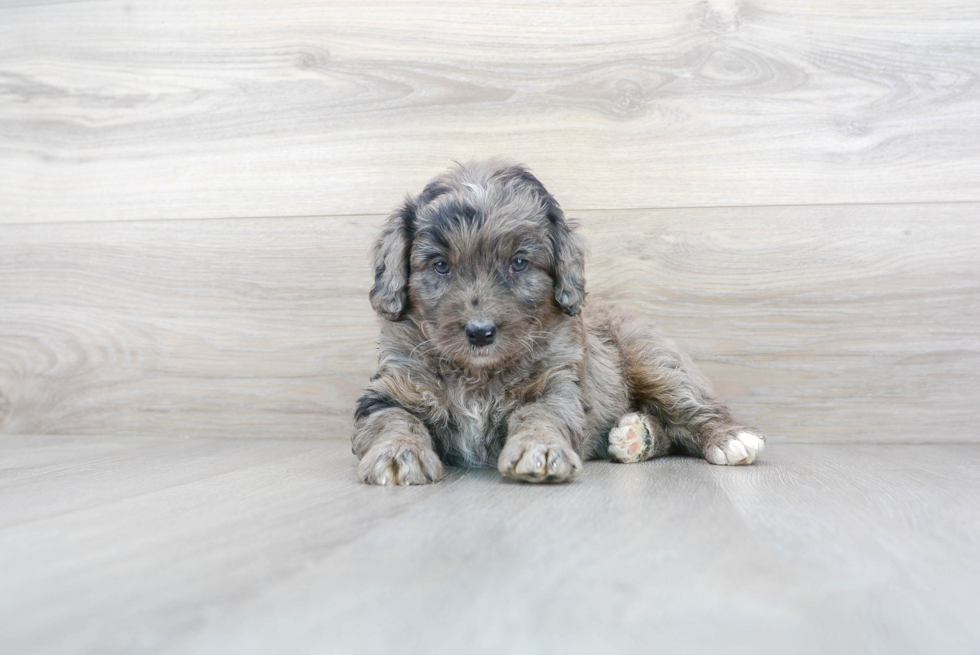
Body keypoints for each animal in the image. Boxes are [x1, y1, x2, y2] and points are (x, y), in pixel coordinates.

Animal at [352, 159, 764, 484]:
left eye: (519, 263)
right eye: (440, 266)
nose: (480, 332)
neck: (478, 374)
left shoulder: (556, 385)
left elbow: (540, 415)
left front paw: (540, 450)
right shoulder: (392, 389)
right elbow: (394, 420)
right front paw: (397, 455)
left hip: (654, 360)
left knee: (691, 405)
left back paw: (728, 439)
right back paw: (636, 436)